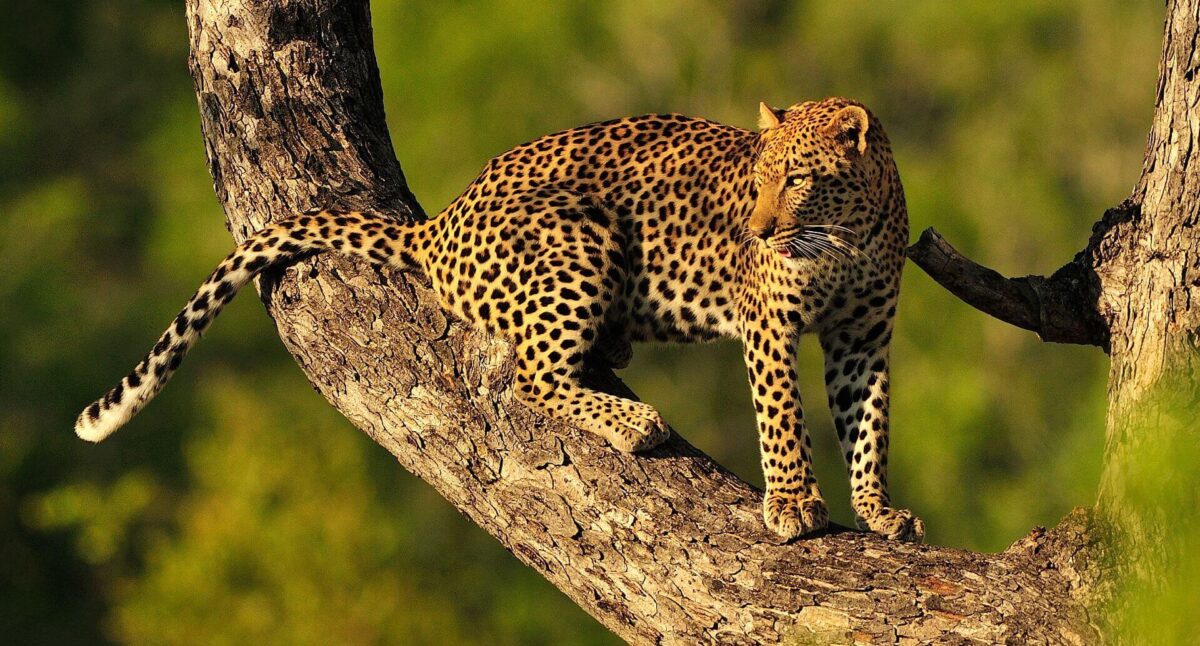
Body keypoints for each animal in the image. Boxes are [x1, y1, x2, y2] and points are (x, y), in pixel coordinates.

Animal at [77, 95, 916, 537]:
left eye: (797, 179)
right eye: (760, 179)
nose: (758, 230)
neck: (847, 232)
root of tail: (440, 224)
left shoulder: (865, 336)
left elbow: (868, 424)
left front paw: (879, 512)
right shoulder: (770, 323)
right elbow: (783, 418)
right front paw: (795, 504)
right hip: (578, 229)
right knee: (534, 378)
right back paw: (633, 423)